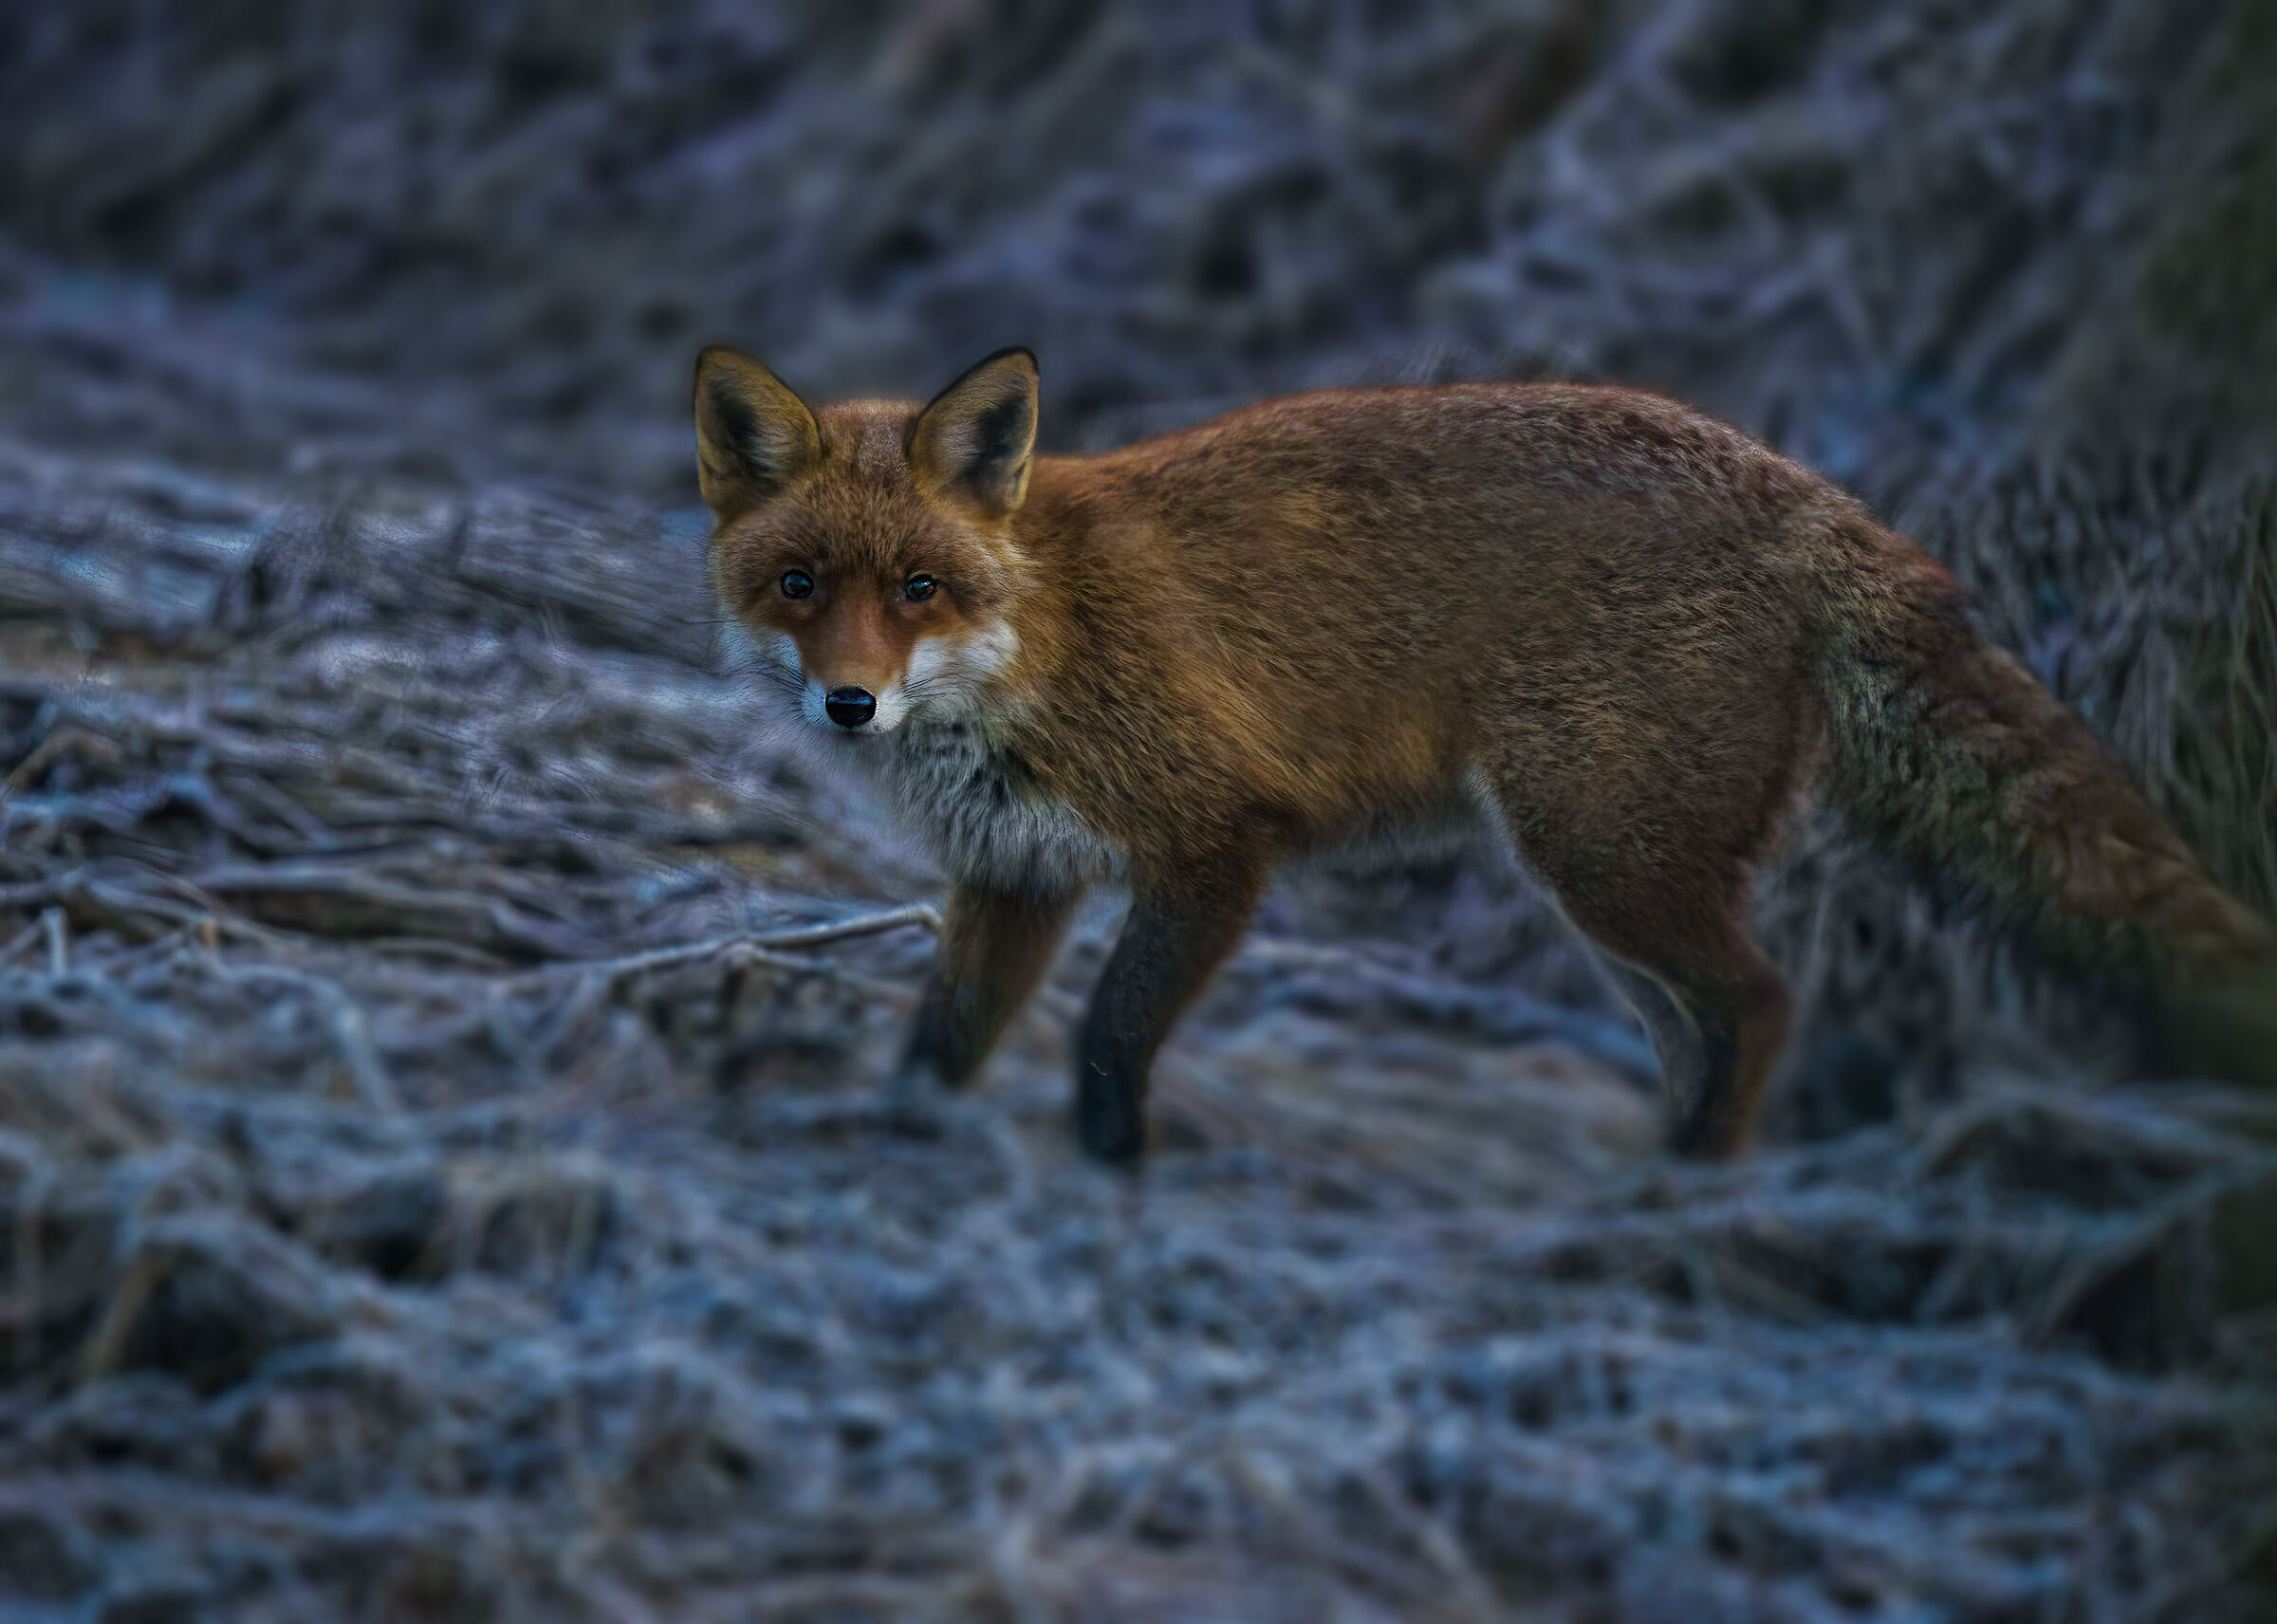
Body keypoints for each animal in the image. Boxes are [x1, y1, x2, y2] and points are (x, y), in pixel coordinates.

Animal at [692, 342, 2274, 1164]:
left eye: (918, 590)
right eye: (799, 587)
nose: (849, 707)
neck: (1034, 640)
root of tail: (1788, 479)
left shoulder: (1214, 848)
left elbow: (1107, 1043)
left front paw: (1110, 1182)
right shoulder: (1015, 877)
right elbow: (940, 1044)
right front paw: (902, 1156)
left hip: (1604, 864)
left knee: (1766, 1004)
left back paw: (1686, 1203)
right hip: (1611, 901)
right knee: (1704, 1031)